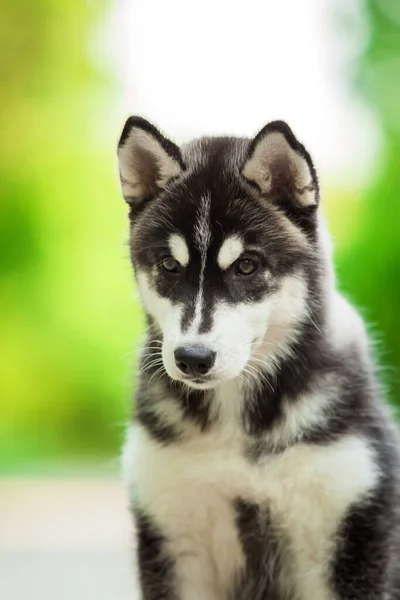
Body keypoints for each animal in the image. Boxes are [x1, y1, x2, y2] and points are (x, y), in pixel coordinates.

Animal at [117, 118, 400, 600]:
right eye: (169, 266)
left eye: (247, 265)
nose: (192, 358)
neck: (238, 429)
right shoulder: (173, 536)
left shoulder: (353, 529)